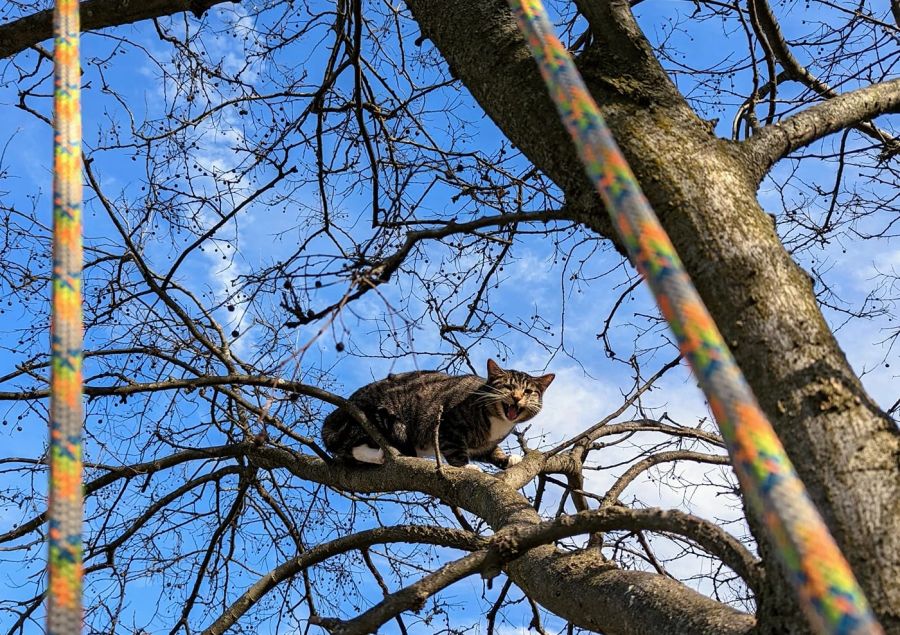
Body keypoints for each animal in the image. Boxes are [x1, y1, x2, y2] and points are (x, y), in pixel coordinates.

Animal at [320, 360, 552, 470]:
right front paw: (467, 467)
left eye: (528, 392)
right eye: (508, 387)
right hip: (370, 417)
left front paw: (508, 458)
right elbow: (456, 451)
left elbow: (491, 451)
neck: (498, 423)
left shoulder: (484, 444)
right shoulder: (448, 426)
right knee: (350, 446)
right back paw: (379, 454)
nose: (517, 397)